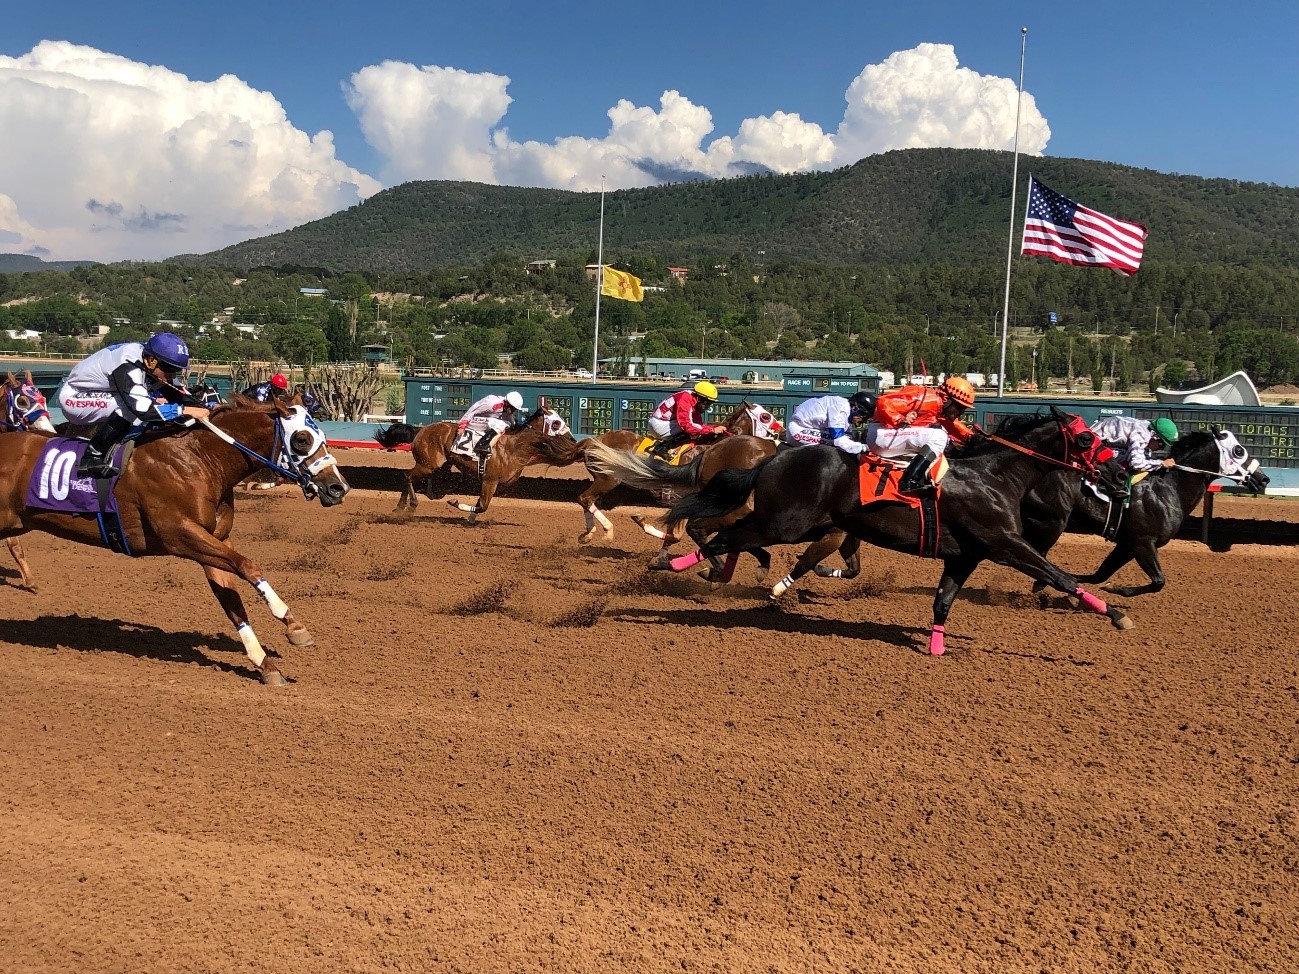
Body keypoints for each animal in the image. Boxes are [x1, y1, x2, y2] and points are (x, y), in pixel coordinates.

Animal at [0, 397, 350, 685]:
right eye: (302, 439)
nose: (338, 487)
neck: (202, 459)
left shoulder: (213, 540)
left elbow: (232, 600)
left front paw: (266, 663)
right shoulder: (180, 534)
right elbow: (247, 566)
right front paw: (292, 625)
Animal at [376, 405, 579, 527]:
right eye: (556, 422)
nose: (572, 440)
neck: (514, 447)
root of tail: (421, 429)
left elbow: (479, 504)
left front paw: (469, 518)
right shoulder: (490, 480)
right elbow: (482, 505)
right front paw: (456, 503)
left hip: (440, 466)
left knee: (424, 485)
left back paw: (402, 506)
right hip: (427, 465)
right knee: (407, 475)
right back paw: (409, 506)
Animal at [631, 407, 1137, 659]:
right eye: (1088, 439)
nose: (1119, 475)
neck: (994, 476)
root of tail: (773, 458)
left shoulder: (965, 555)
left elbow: (943, 601)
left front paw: (937, 646)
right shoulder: (1005, 543)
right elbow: (1059, 575)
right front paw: (1115, 614)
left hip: (787, 522)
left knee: (727, 534)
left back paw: (702, 567)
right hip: (786, 522)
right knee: (719, 533)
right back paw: (683, 565)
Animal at [1023, 428, 1267, 599]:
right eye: (1238, 450)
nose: (1263, 479)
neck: (1169, 489)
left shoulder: (1127, 544)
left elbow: (1100, 575)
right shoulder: (1143, 542)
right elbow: (1159, 581)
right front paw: (1118, 590)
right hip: (1052, 522)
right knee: (1037, 550)